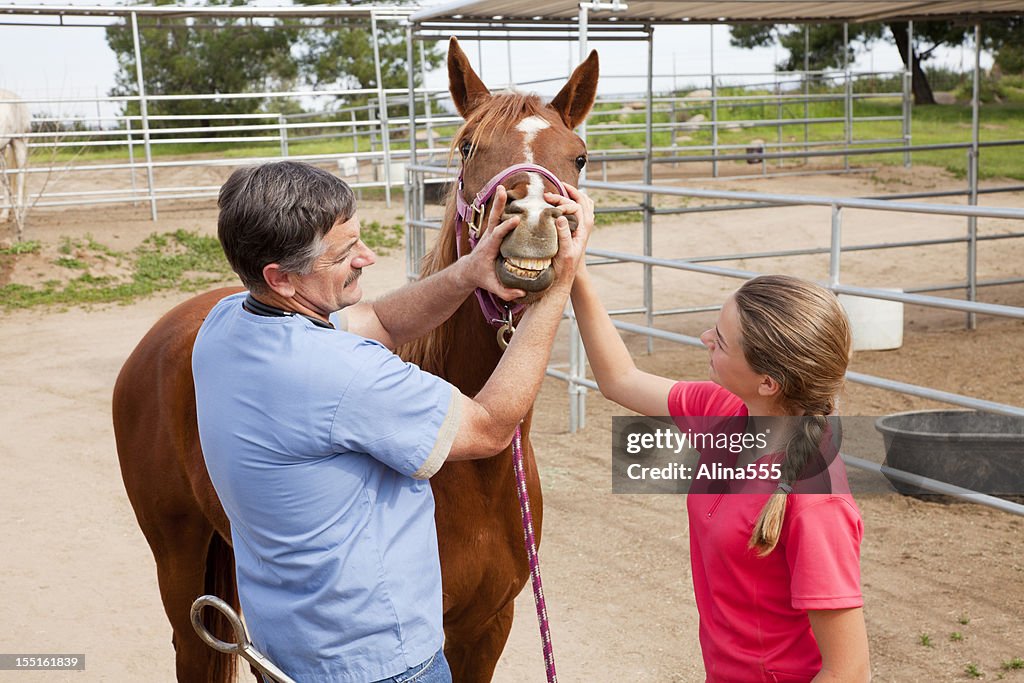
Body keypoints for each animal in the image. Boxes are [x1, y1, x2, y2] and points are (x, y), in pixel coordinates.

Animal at [112, 38, 598, 683]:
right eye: (468, 146)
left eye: (579, 157)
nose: (535, 219)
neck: (478, 477)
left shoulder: (489, 625)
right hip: (179, 564)